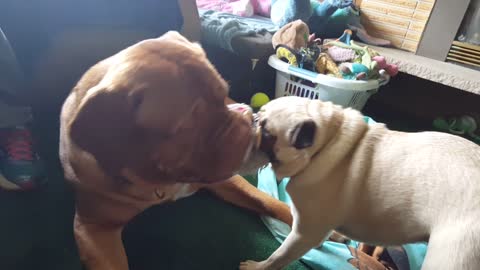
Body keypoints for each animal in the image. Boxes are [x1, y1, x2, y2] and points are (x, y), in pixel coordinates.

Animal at [60, 31, 292, 270]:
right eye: (190, 124)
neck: (160, 181)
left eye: (222, 96)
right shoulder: (92, 227)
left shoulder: (224, 181)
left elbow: (266, 201)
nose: (252, 122)